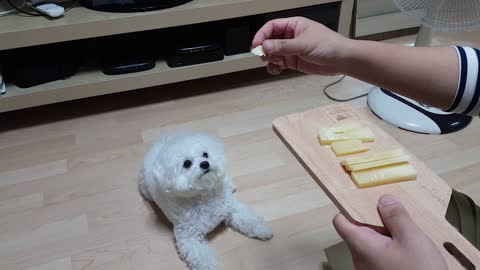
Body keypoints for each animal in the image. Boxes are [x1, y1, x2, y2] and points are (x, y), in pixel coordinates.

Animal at [139, 133, 274, 270]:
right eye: (187, 163)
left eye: (205, 154)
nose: (205, 163)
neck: (204, 195)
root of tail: (160, 143)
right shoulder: (189, 237)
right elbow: (203, 257)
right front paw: (210, 266)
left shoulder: (232, 209)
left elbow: (250, 220)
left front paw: (262, 229)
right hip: (145, 189)